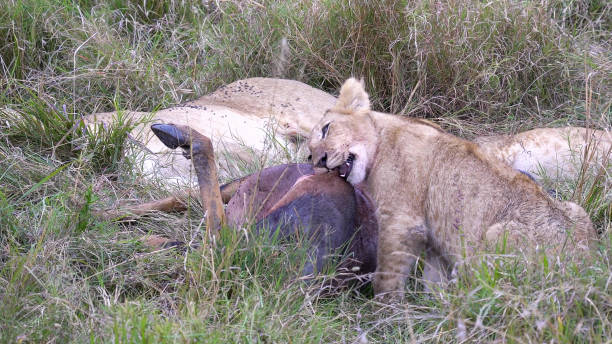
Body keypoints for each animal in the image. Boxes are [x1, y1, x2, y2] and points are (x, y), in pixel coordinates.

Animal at [308, 79, 596, 300]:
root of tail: (588, 266)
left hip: (497, 235)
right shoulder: (435, 237)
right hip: (576, 210)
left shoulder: (401, 221)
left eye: (326, 129)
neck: (383, 136)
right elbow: (434, 279)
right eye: (309, 154)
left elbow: (388, 274)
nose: (319, 161)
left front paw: (385, 312)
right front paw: (435, 308)